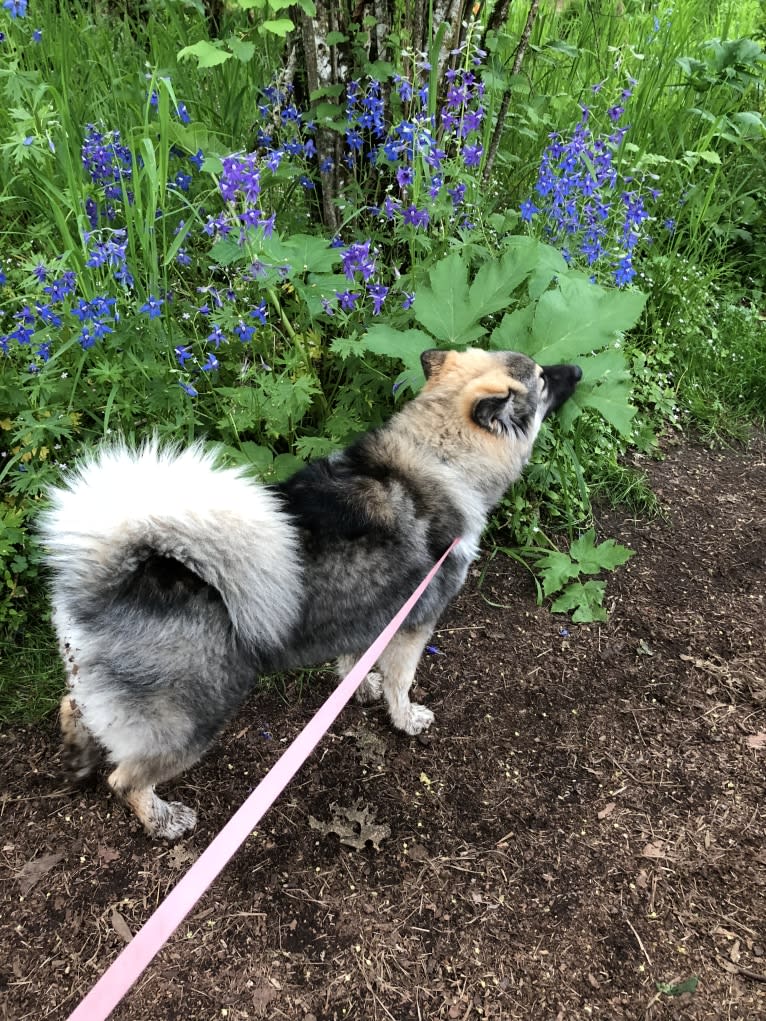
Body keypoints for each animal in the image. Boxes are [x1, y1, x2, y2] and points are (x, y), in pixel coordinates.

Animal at [40, 349, 580, 837]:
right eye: (542, 377)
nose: (577, 369)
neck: (438, 460)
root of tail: (115, 577)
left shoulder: (367, 614)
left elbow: (355, 660)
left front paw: (359, 687)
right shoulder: (413, 624)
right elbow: (401, 683)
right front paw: (405, 717)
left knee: (74, 707)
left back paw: (76, 754)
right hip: (191, 719)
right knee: (126, 779)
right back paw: (162, 819)